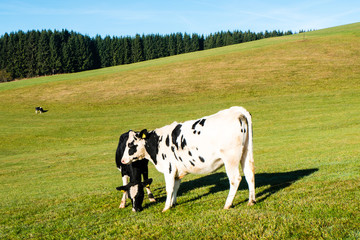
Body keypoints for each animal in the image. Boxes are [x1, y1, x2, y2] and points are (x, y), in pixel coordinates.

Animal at [121, 107, 256, 212]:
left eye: (131, 144)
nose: (122, 160)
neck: (157, 142)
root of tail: (237, 111)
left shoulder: (169, 169)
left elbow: (169, 188)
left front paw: (166, 207)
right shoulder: (177, 170)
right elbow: (176, 187)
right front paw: (173, 203)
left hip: (230, 158)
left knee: (235, 179)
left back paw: (227, 204)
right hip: (246, 153)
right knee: (250, 174)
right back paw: (251, 201)